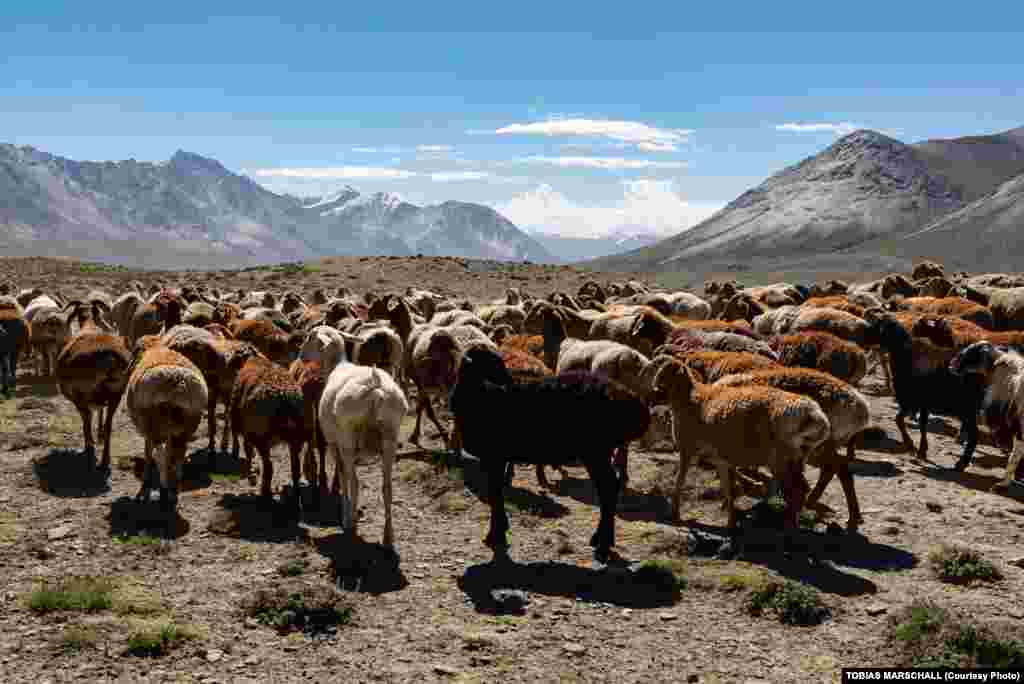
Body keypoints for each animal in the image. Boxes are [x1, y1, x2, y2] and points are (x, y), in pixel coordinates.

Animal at [454, 348, 651, 561]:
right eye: (489, 363)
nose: (508, 381)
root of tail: (633, 401)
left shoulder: (494, 456)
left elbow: (495, 494)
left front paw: (495, 536)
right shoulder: (495, 458)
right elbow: (496, 493)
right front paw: (499, 531)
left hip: (596, 451)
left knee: (607, 489)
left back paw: (603, 547)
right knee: (610, 488)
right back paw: (600, 540)